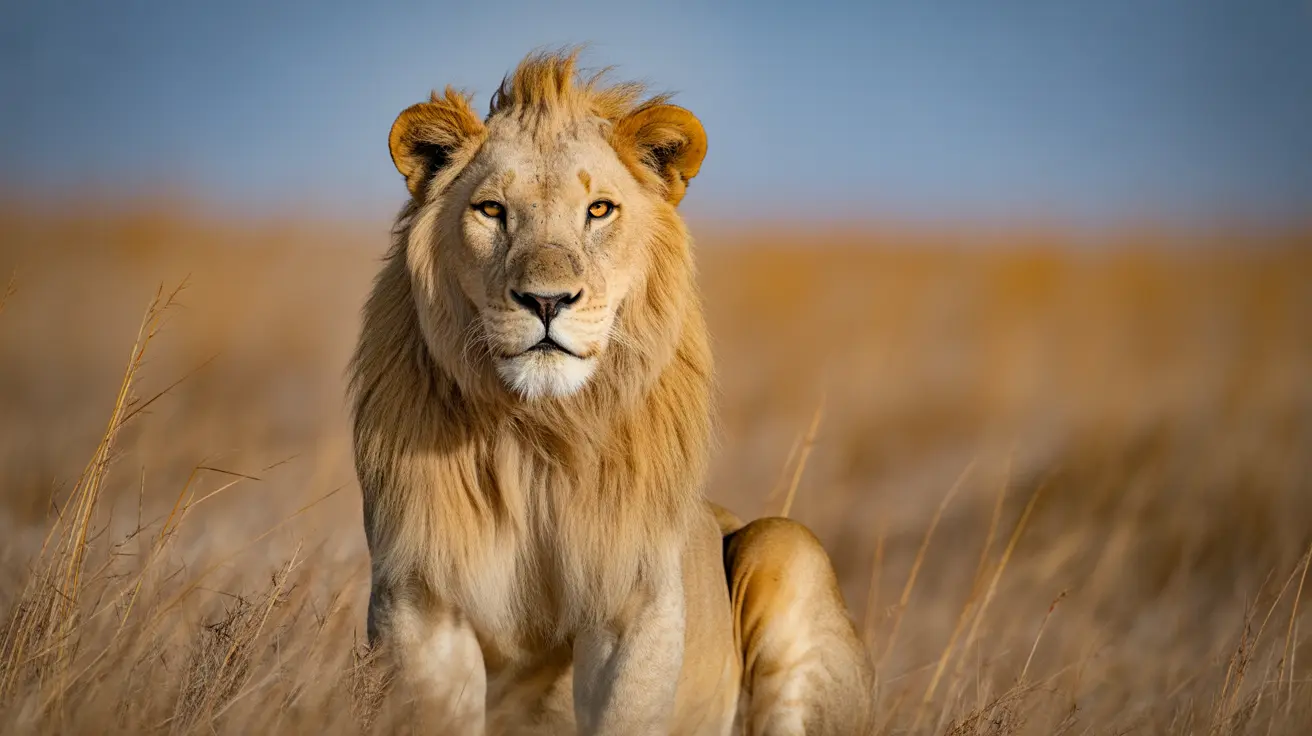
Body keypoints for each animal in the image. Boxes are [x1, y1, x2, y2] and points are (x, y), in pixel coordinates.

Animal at [349, 49, 873, 735]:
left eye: (598, 210)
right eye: (491, 210)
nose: (547, 301)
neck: (540, 440)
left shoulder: (637, 603)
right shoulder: (421, 601)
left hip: (785, 546)